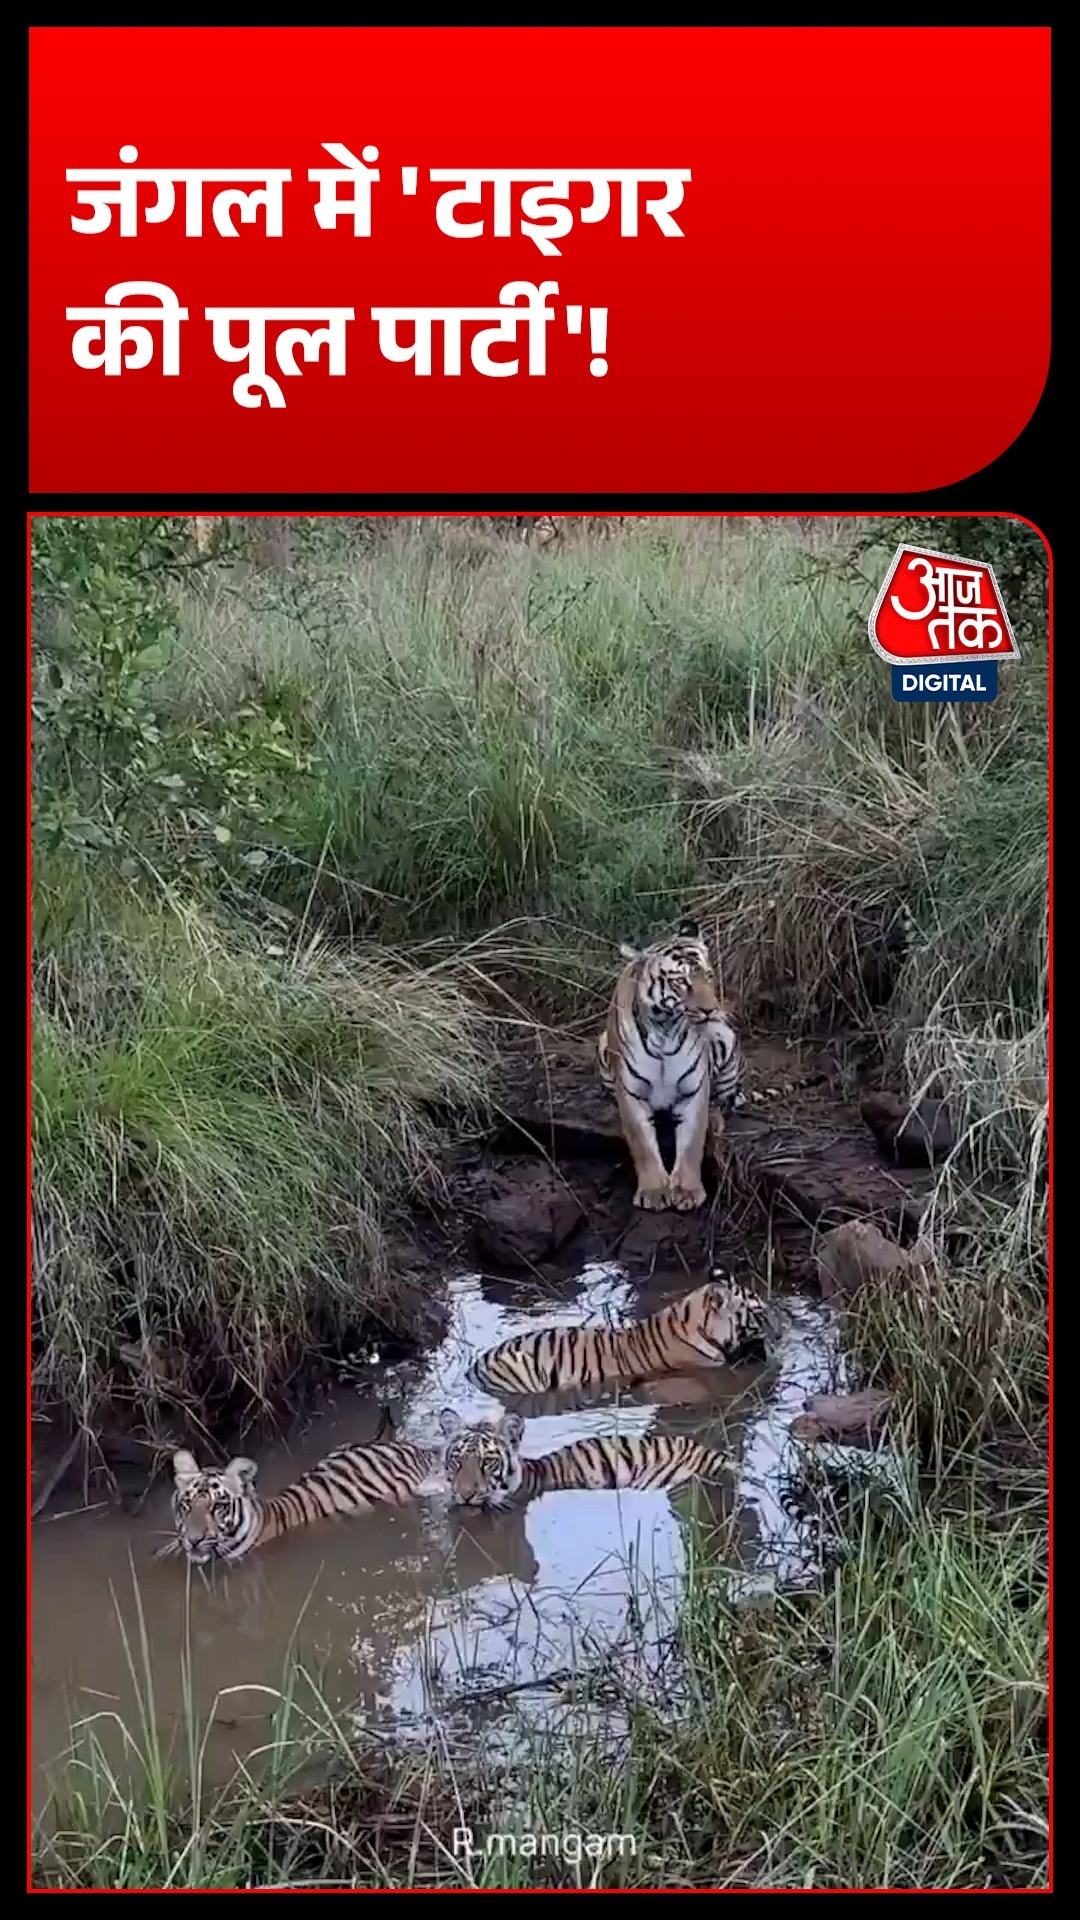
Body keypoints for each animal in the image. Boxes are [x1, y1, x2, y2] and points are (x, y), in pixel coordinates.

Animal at [596, 916, 745, 1212]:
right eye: (680, 982)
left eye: (708, 976)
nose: (711, 1010)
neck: (665, 1027)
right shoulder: (631, 1092)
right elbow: (643, 1145)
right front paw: (654, 1192)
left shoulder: (694, 1089)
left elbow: (690, 1144)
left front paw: (687, 1191)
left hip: (725, 1038)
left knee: (722, 1102)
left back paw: (716, 1119)